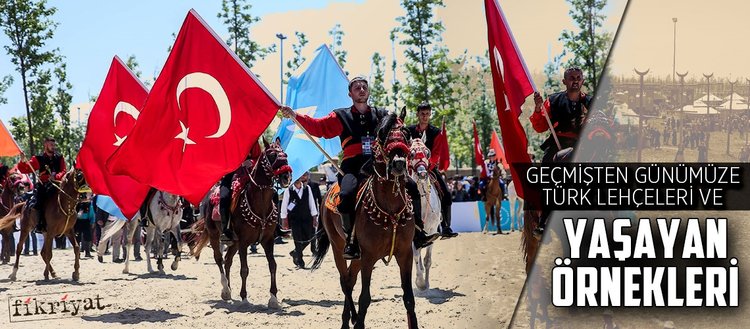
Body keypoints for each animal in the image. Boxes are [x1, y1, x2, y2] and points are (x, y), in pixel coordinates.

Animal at [191, 140, 290, 306]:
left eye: (286, 154)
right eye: (271, 154)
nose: (286, 176)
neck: (259, 204)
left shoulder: (268, 240)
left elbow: (273, 265)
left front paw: (273, 298)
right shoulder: (244, 242)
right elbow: (244, 269)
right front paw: (244, 298)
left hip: (234, 242)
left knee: (227, 260)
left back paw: (229, 291)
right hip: (215, 234)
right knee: (219, 259)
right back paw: (225, 289)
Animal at [308, 111, 420, 326]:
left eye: (407, 133)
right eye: (382, 134)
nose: (399, 163)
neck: (391, 210)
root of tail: (326, 194)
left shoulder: (405, 254)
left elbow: (409, 299)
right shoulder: (368, 256)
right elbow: (365, 299)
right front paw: (358, 320)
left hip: (358, 257)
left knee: (350, 279)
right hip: (339, 247)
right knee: (345, 282)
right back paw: (349, 319)